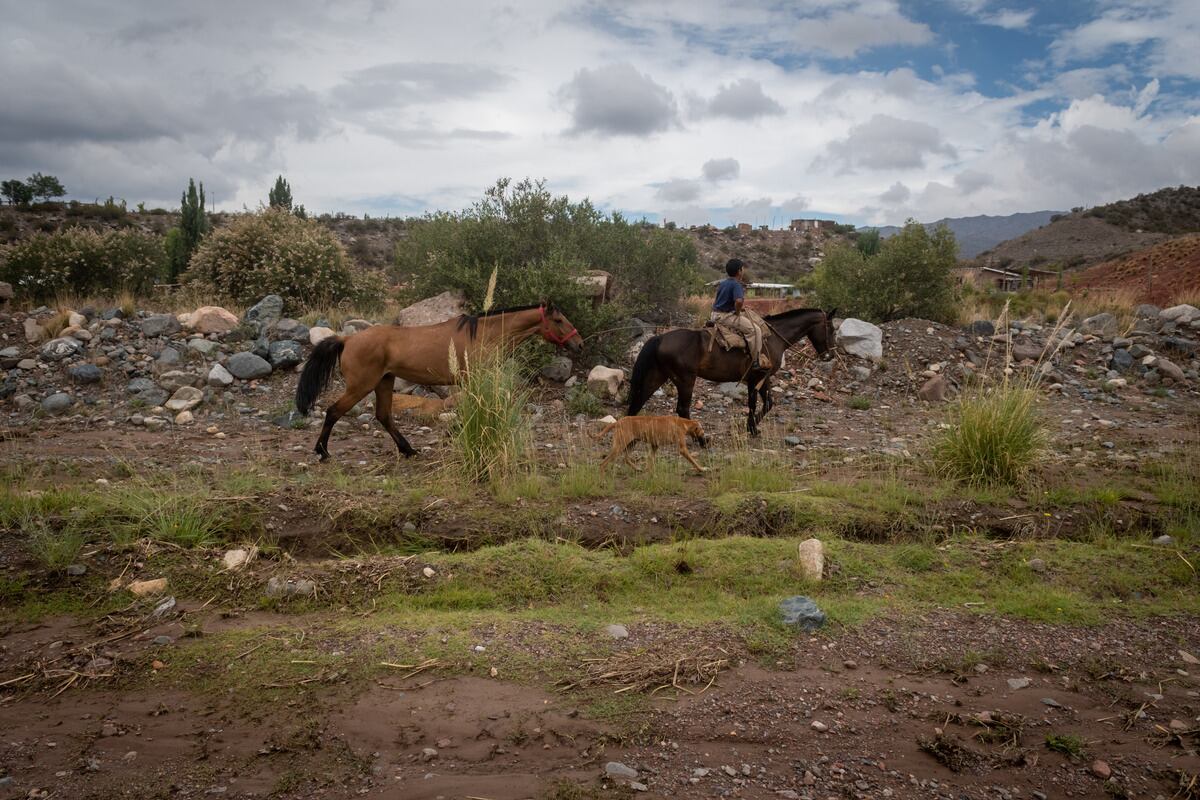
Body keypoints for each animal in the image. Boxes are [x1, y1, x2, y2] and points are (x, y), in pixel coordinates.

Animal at [297, 302, 583, 462]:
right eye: (558, 320)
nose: (579, 344)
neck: (484, 334)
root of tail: (347, 339)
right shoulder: (470, 381)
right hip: (361, 386)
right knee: (333, 411)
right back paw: (322, 452)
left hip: (384, 382)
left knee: (384, 416)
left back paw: (409, 450)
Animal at [628, 307, 835, 434]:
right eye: (831, 329)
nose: (830, 356)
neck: (772, 337)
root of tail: (660, 338)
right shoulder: (756, 376)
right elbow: (753, 403)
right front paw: (752, 427)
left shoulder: (763, 377)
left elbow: (768, 403)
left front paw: (753, 427)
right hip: (685, 380)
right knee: (682, 409)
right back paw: (702, 440)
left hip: (659, 376)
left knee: (638, 401)